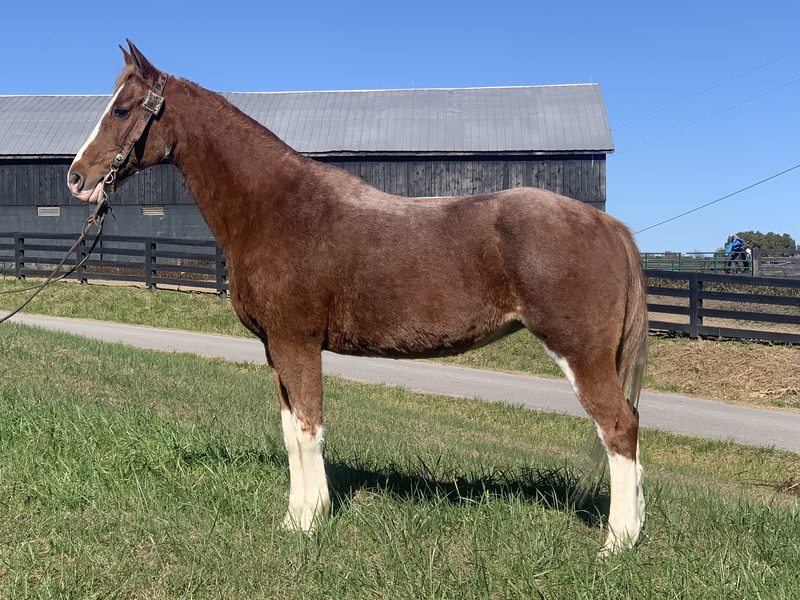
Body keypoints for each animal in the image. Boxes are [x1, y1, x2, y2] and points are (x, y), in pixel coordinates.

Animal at [65, 41, 648, 556]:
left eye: (122, 109)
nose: (76, 177)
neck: (275, 207)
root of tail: (609, 224)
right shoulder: (275, 348)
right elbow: (290, 432)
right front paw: (293, 518)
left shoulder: (297, 343)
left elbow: (308, 430)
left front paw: (308, 523)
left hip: (581, 353)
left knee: (619, 427)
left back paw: (616, 544)